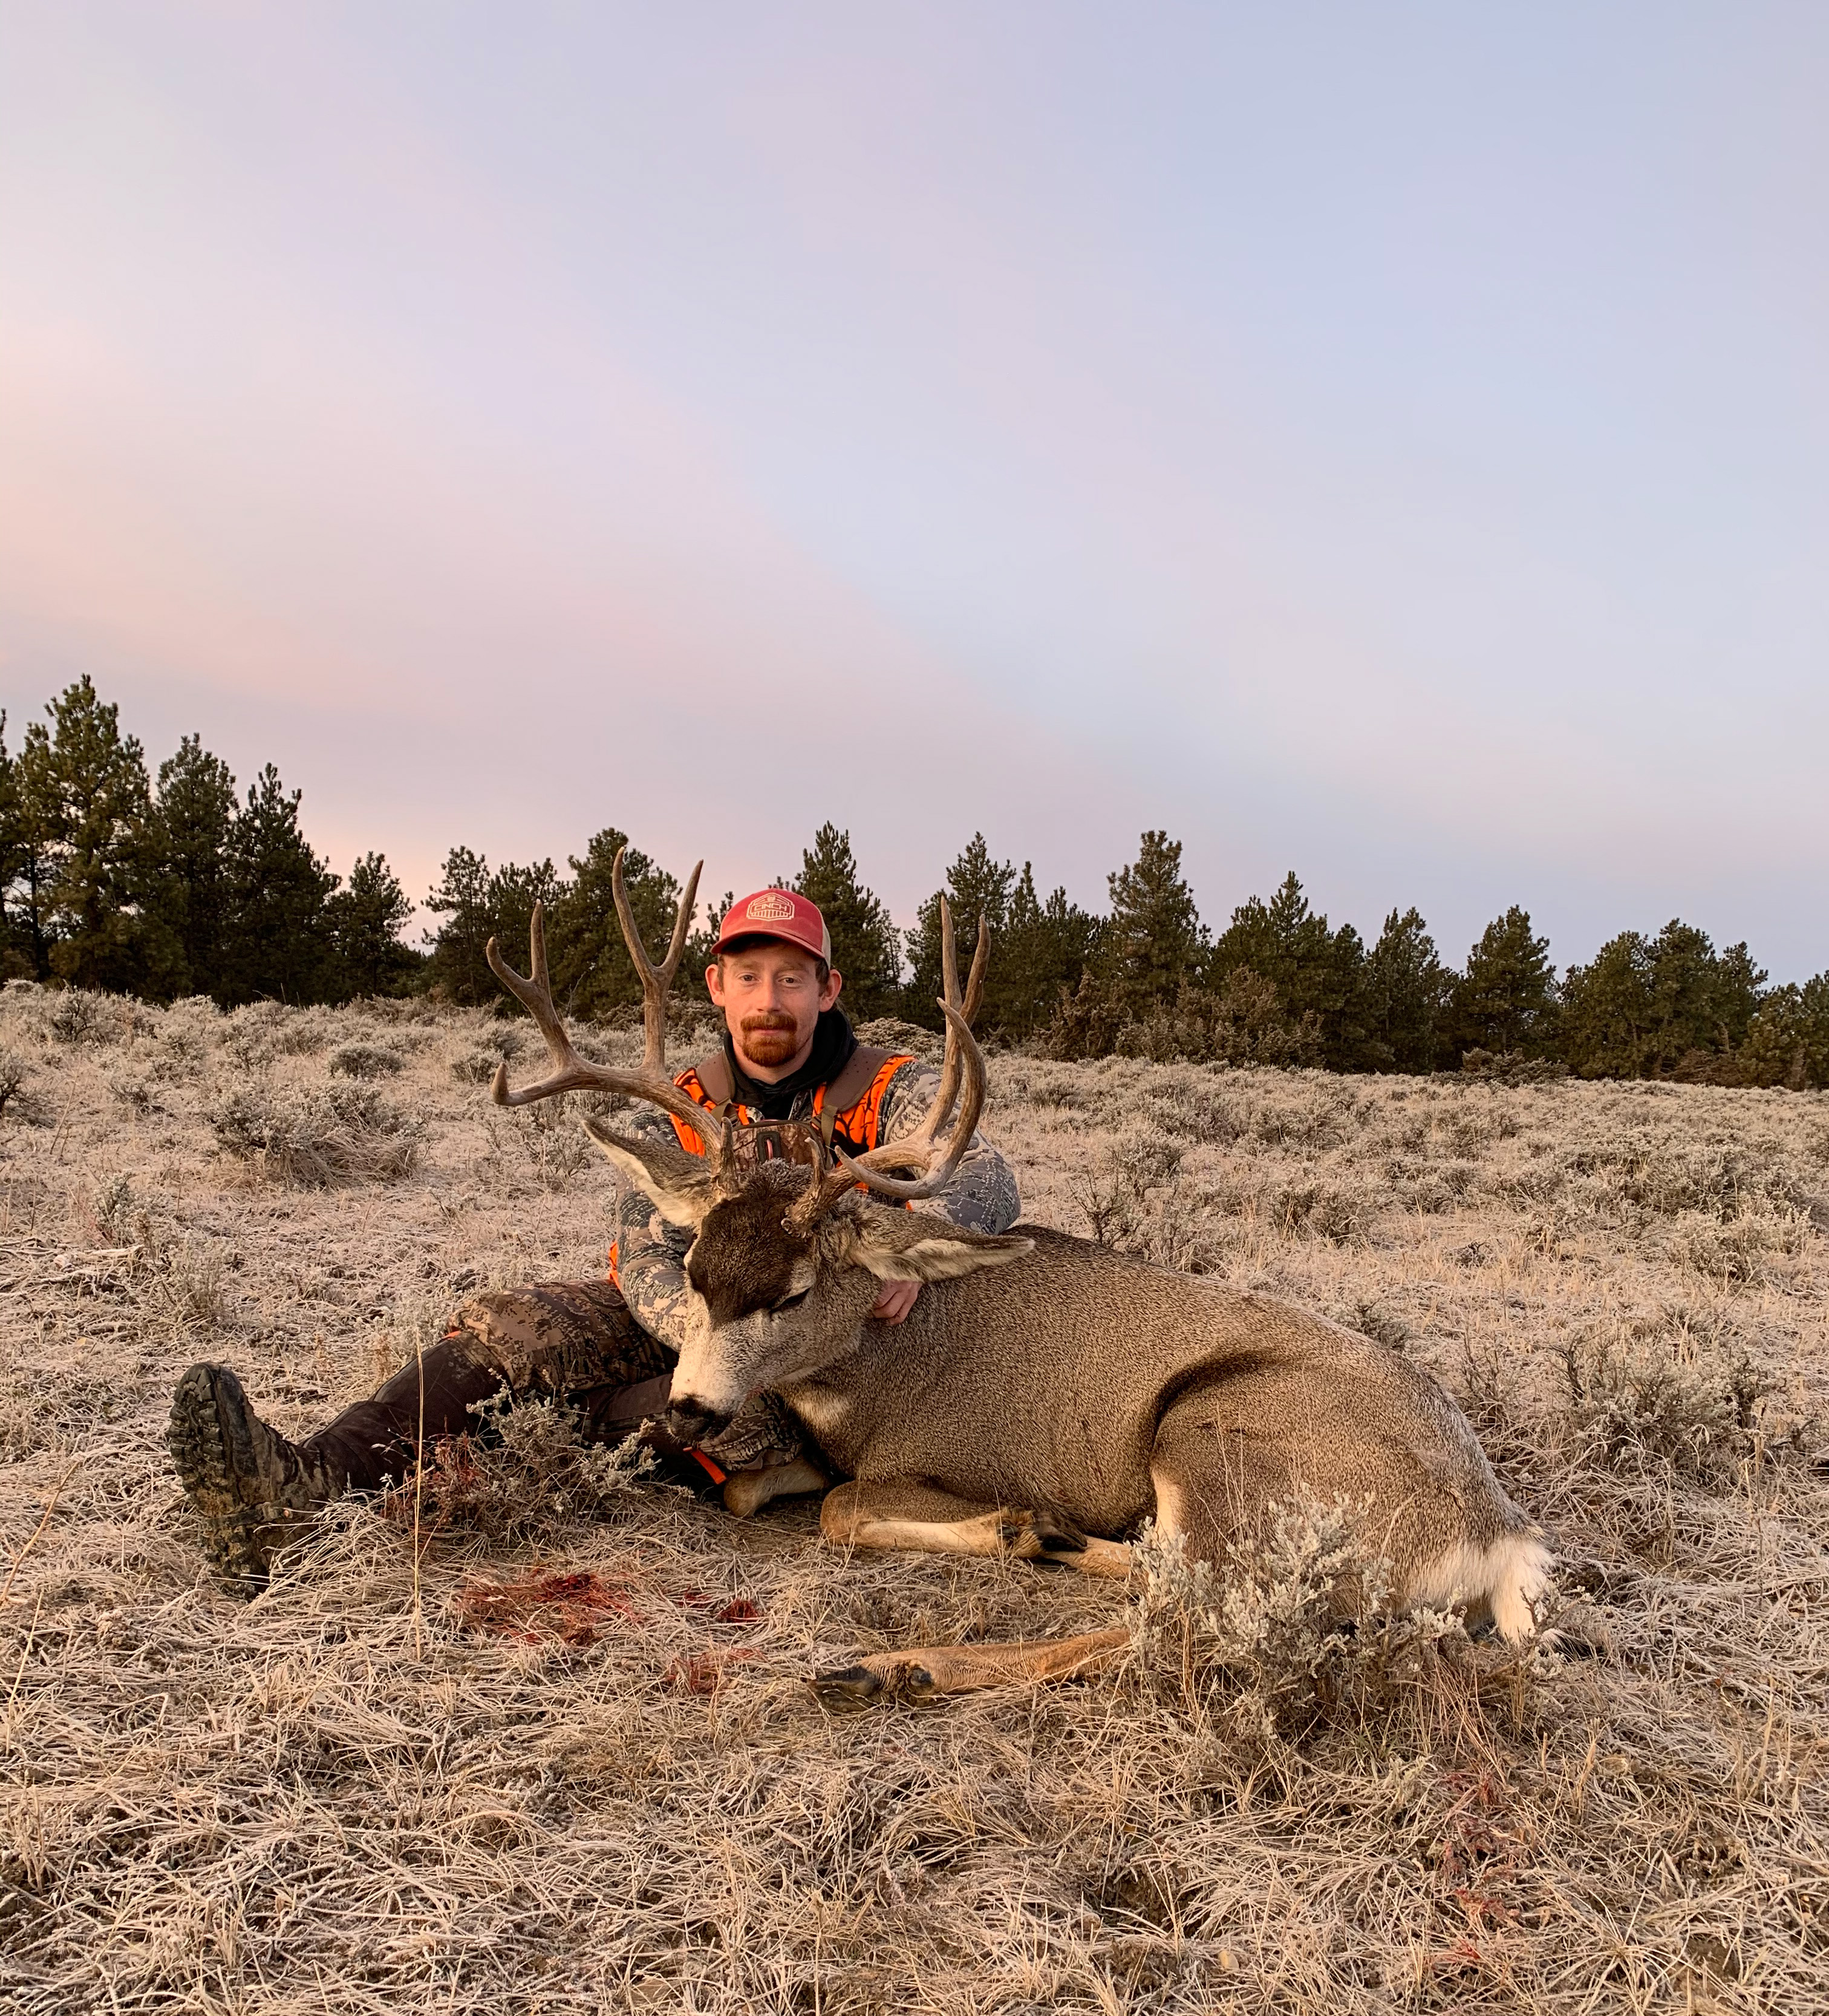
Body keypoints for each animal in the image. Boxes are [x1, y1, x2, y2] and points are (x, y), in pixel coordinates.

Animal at [484, 853, 1553, 1705]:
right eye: (695, 1268)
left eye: (791, 1292)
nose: (691, 1410)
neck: (882, 1371)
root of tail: (1501, 1531)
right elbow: (761, 1491)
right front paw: (1030, 1529)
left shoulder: (936, 1457)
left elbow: (842, 1507)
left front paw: (1010, 1523)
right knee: (1164, 1582)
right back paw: (1057, 1546)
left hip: (1216, 1437)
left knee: (1192, 1626)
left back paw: (898, 1662)